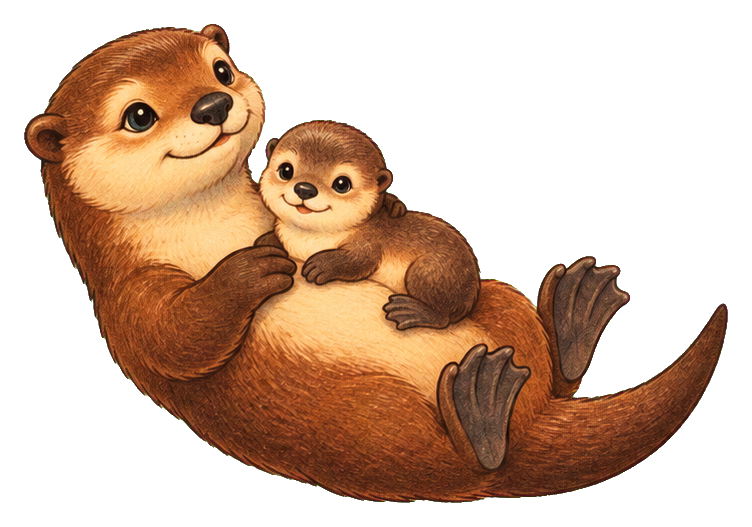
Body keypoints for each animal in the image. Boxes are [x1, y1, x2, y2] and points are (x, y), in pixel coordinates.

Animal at [256, 121, 480, 330]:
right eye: (286, 170)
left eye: (342, 184)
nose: (305, 188)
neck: (306, 242)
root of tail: (472, 292)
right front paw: (265, 242)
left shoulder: (370, 240)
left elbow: (360, 260)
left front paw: (321, 265)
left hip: (432, 271)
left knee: (443, 317)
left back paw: (412, 311)